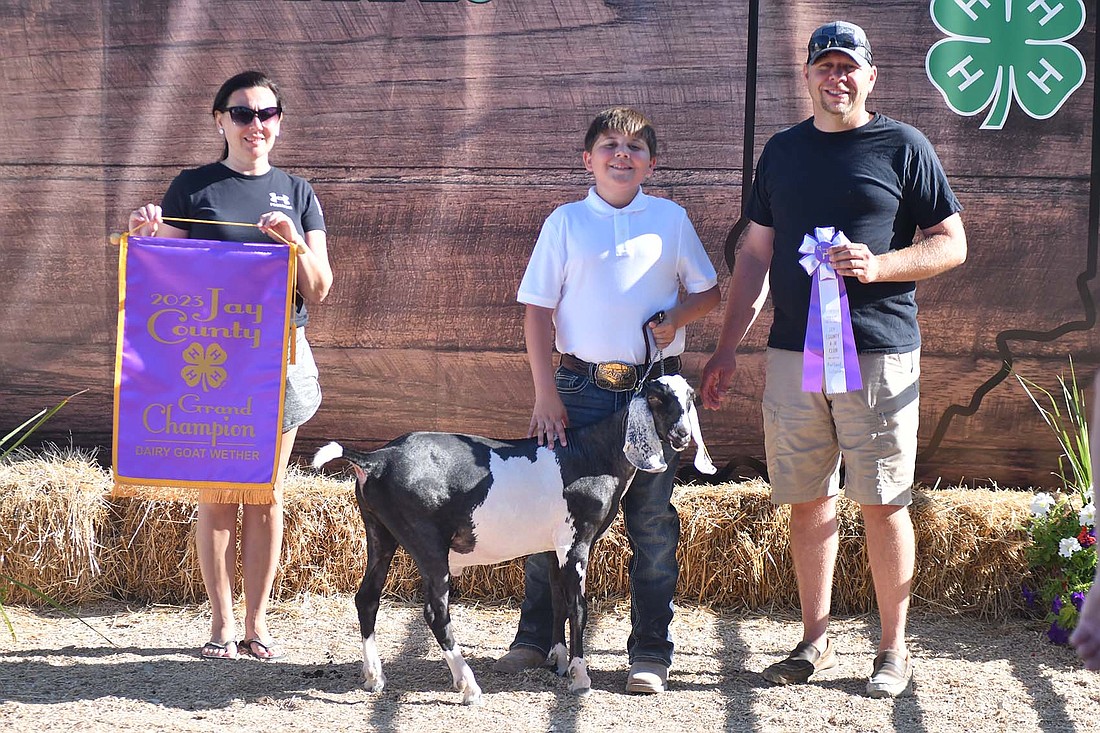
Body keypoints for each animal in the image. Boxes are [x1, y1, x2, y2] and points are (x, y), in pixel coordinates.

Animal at [314, 374, 717, 699]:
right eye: (656, 398)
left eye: (691, 397)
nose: (682, 435)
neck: (593, 453)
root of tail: (376, 460)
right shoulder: (576, 542)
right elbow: (579, 608)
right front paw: (580, 676)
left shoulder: (554, 546)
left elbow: (558, 601)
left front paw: (558, 660)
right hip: (427, 541)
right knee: (435, 611)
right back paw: (468, 685)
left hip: (379, 531)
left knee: (367, 598)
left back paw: (374, 677)